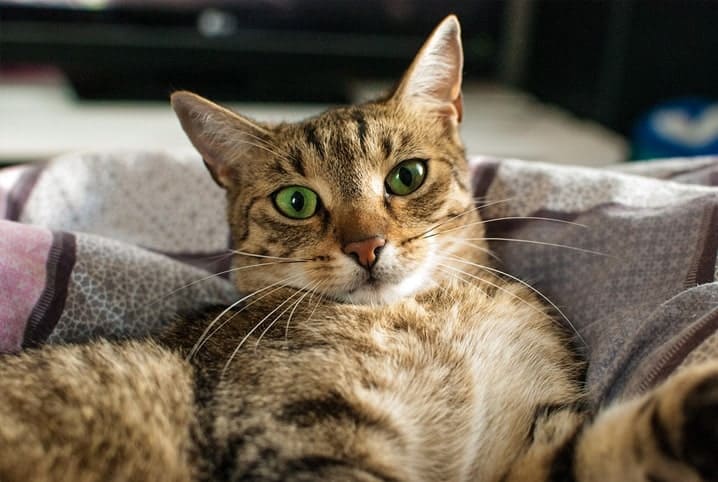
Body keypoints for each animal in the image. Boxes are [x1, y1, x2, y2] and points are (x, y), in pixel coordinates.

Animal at [1, 15, 718, 482]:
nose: (367, 246)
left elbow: (606, 447)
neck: (426, 317)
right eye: (296, 201)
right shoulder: (295, 432)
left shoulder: (533, 437)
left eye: (406, 176)